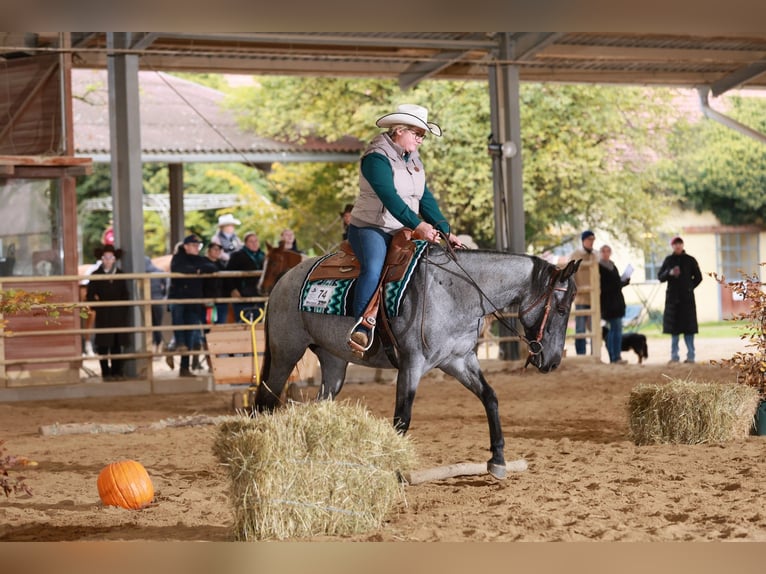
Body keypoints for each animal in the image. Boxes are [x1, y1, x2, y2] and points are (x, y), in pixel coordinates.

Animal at [254, 244, 581, 479]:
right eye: (562, 309)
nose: (552, 361)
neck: (454, 291)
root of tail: (283, 282)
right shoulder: (412, 364)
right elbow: (402, 417)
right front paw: (393, 468)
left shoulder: (458, 360)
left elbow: (490, 397)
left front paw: (498, 460)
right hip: (285, 353)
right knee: (265, 401)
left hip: (334, 362)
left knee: (321, 405)